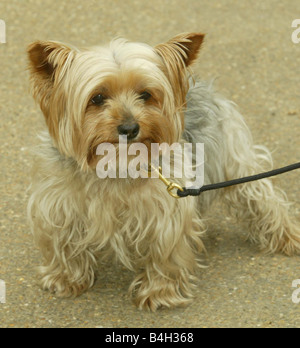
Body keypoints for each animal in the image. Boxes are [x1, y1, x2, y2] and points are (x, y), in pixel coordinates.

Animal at [27, 32, 298, 310]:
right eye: (98, 98)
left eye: (145, 94)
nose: (129, 128)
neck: (116, 165)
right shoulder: (61, 203)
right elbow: (62, 241)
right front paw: (66, 277)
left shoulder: (166, 212)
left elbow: (165, 251)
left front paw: (160, 291)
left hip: (235, 160)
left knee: (262, 198)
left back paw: (287, 236)